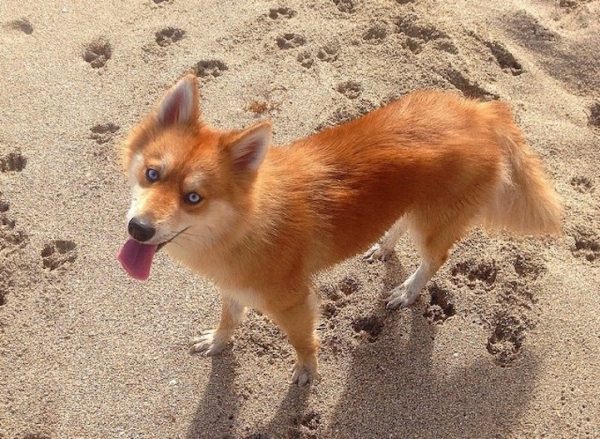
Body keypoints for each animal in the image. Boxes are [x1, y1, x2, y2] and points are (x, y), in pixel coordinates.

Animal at [118, 75, 564, 384]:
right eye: (152, 174)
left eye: (194, 198)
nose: (138, 229)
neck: (245, 224)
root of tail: (480, 113)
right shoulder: (233, 286)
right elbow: (229, 318)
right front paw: (218, 340)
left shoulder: (294, 304)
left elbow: (303, 342)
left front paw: (307, 373)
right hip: (413, 204)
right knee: (400, 224)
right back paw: (383, 246)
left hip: (433, 224)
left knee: (435, 259)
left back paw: (407, 290)